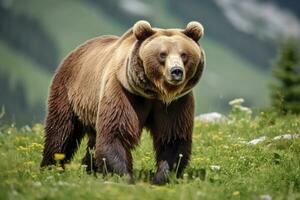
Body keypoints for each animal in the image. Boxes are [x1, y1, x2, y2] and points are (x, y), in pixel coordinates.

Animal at [41, 20, 205, 184]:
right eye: (162, 54)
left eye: (184, 54)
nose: (176, 71)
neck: (154, 92)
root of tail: (76, 51)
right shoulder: (123, 91)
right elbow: (116, 133)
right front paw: (125, 177)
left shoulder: (175, 103)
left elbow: (173, 137)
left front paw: (160, 178)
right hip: (69, 91)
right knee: (61, 131)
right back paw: (51, 166)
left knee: (93, 139)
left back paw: (90, 169)